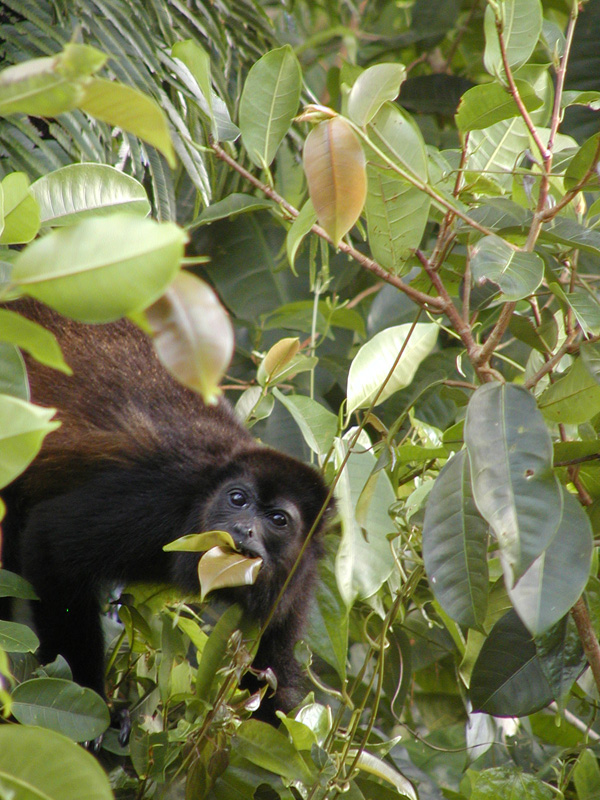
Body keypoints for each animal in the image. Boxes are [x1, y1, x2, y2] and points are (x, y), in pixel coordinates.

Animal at [0, 298, 330, 720]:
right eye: (238, 499)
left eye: (278, 520)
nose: (244, 529)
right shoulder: (159, 501)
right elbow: (51, 542)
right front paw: (99, 711)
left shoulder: (297, 581)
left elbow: (270, 678)